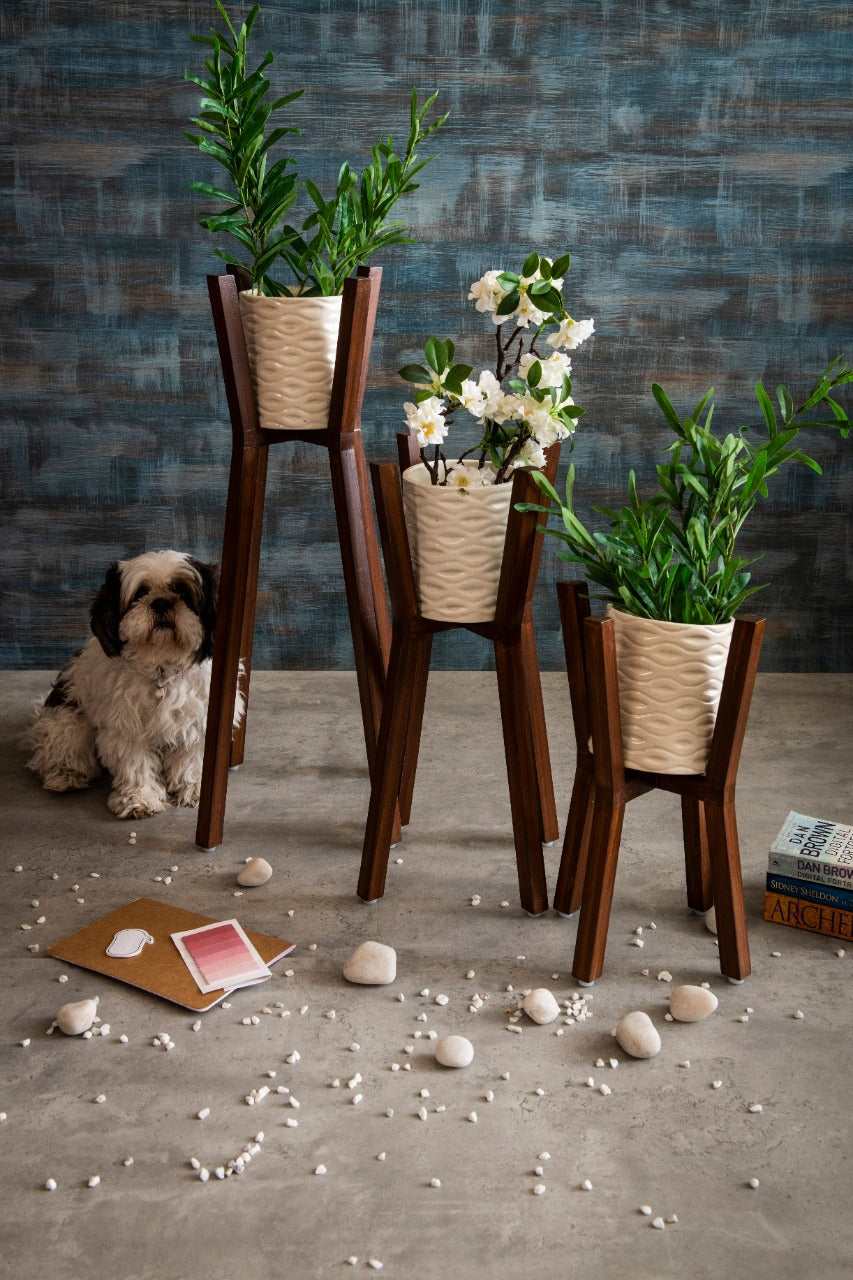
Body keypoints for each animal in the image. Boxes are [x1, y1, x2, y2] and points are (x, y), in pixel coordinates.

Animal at [24, 550, 239, 819]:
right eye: (140, 593)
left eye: (183, 592)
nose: (161, 602)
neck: (160, 669)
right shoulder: (127, 727)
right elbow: (136, 765)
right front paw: (139, 799)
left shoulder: (197, 722)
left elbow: (190, 760)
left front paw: (196, 790)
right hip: (68, 721)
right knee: (59, 750)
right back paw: (66, 775)